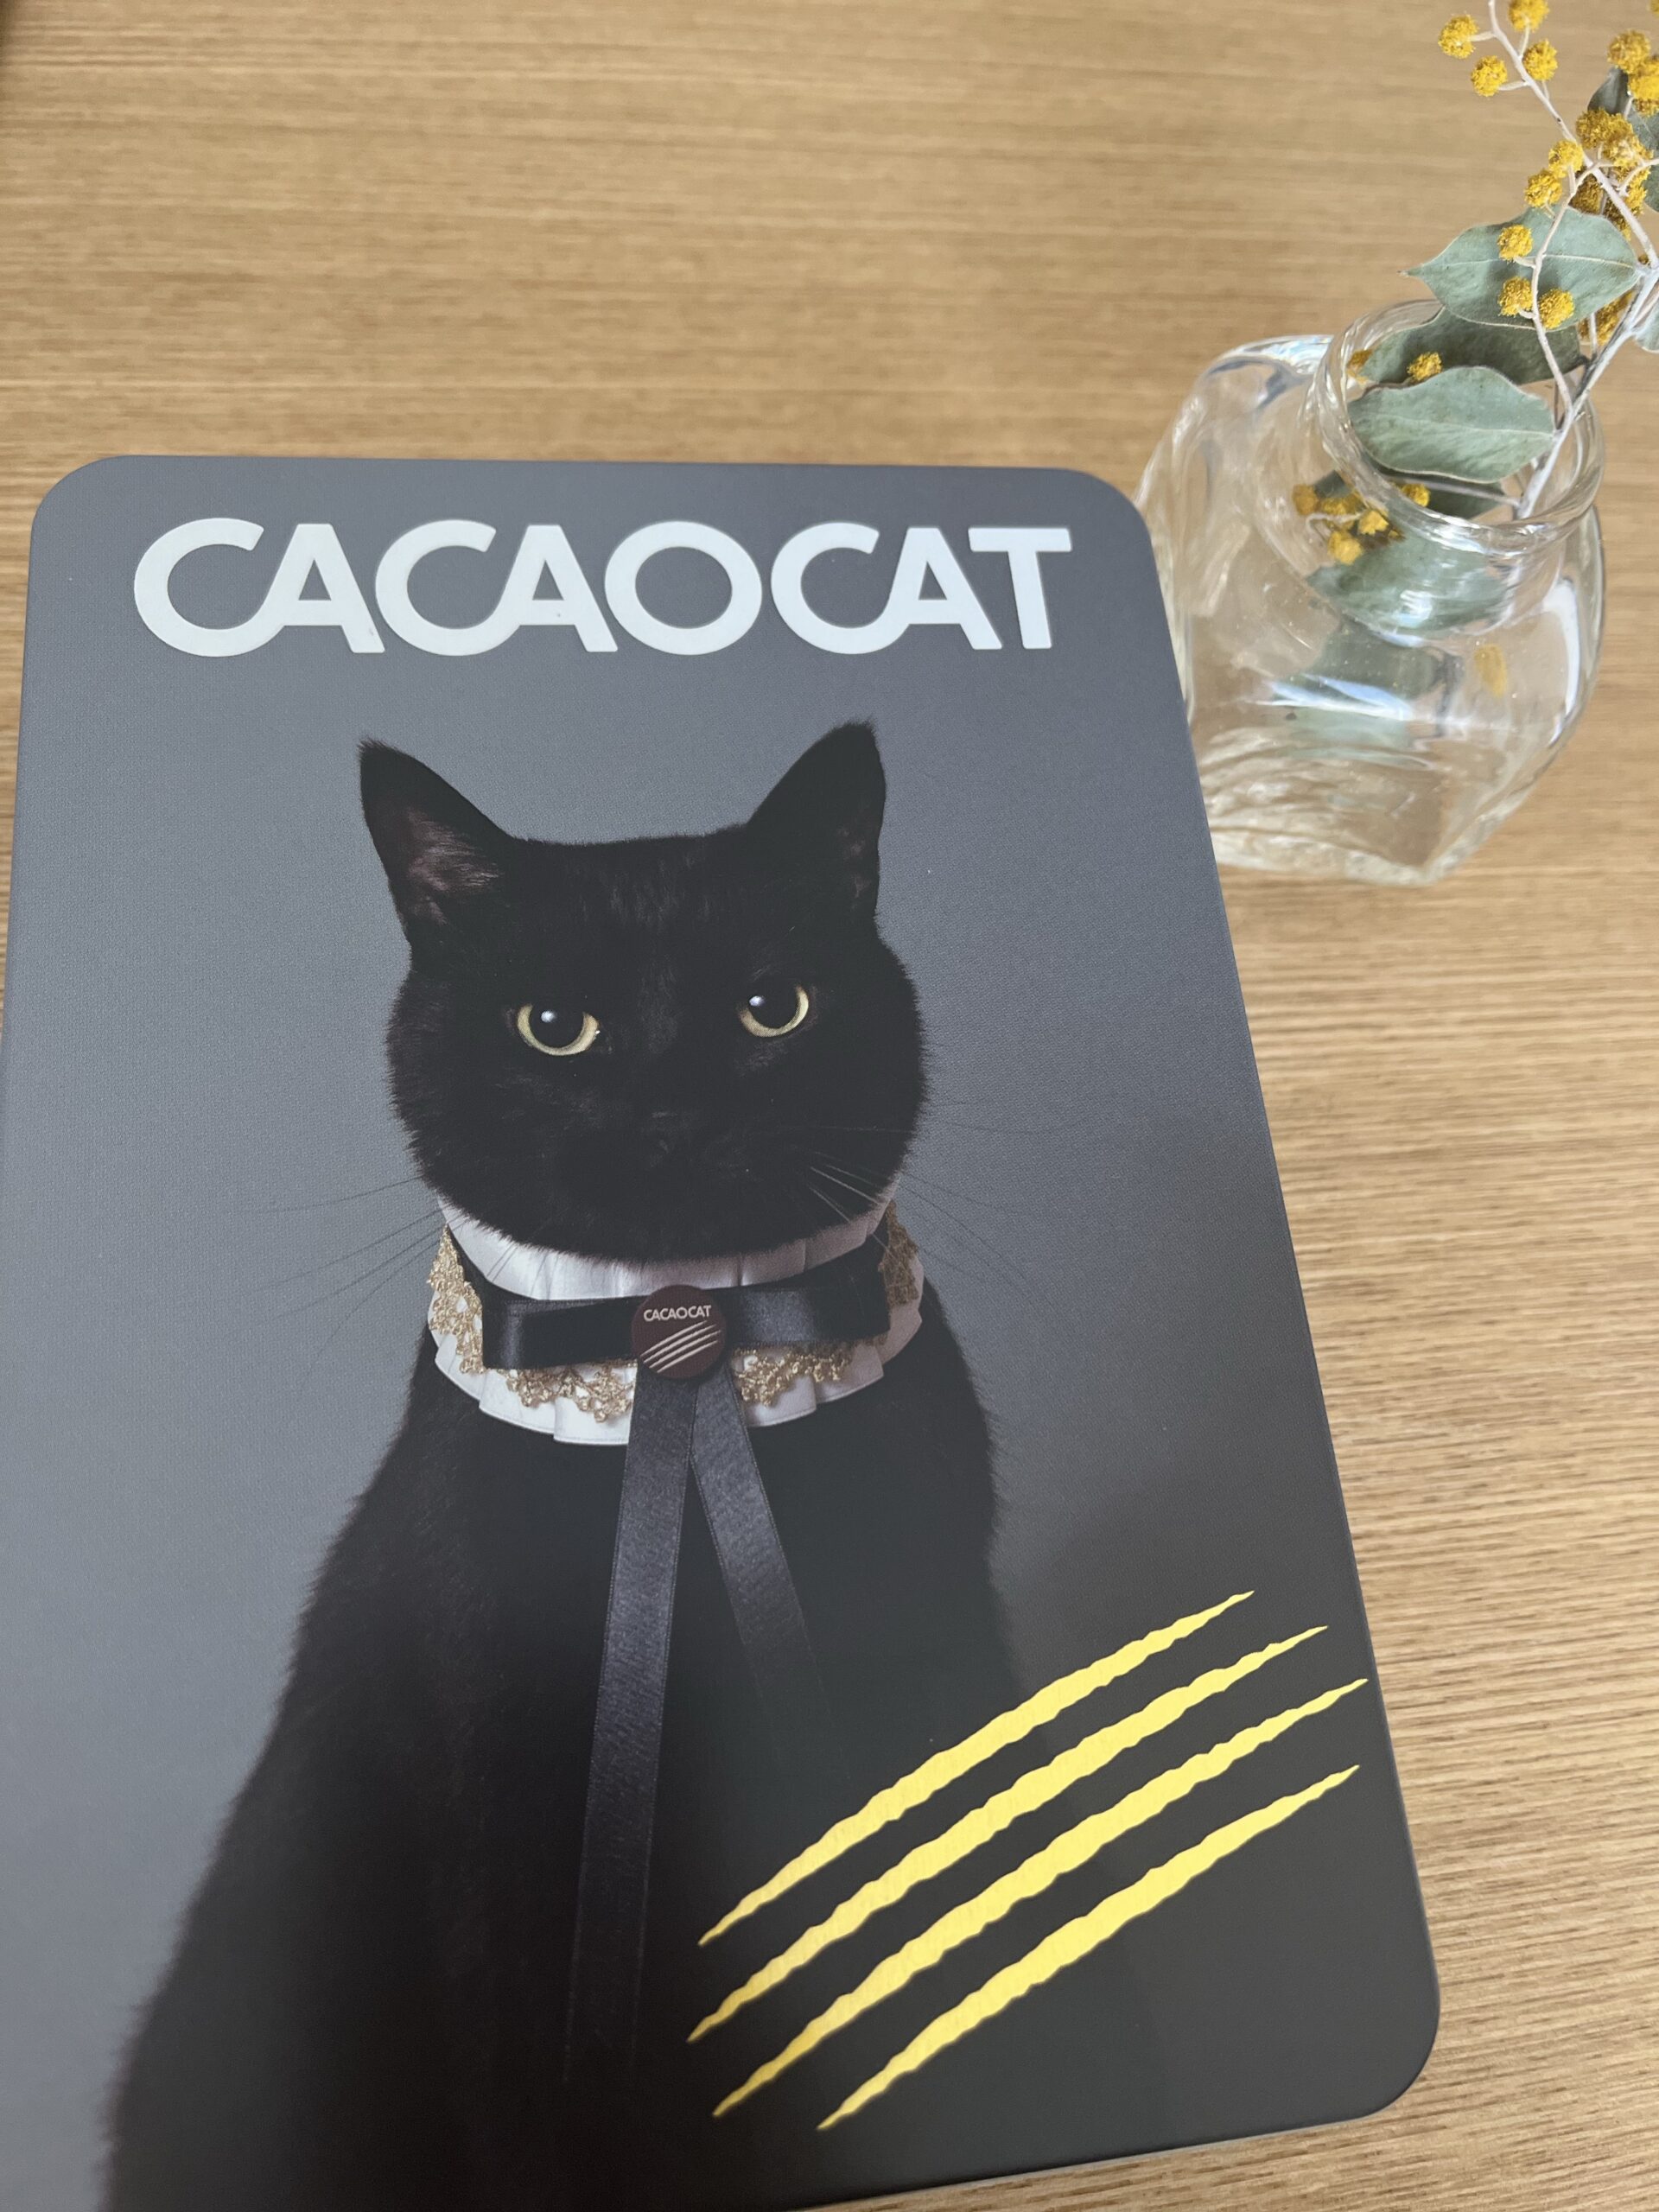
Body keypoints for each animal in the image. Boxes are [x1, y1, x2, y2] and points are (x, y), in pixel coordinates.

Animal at [105, 723, 1016, 2212]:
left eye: (772, 1008)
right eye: (553, 1027)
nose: (671, 1107)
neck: (678, 1361)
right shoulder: (509, 1829)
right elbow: (543, 2103)